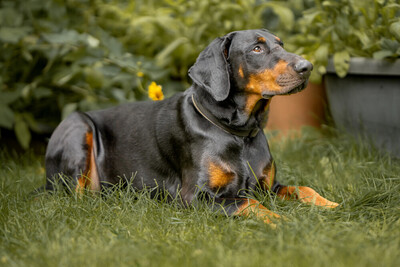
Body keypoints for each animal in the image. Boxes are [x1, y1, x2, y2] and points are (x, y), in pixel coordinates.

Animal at [44, 29, 338, 225]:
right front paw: (284, 220)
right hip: (78, 126)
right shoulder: (194, 197)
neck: (239, 134)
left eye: (281, 44)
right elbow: (248, 201)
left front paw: (332, 205)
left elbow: (302, 188)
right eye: (257, 48)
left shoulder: (269, 185)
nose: (308, 66)